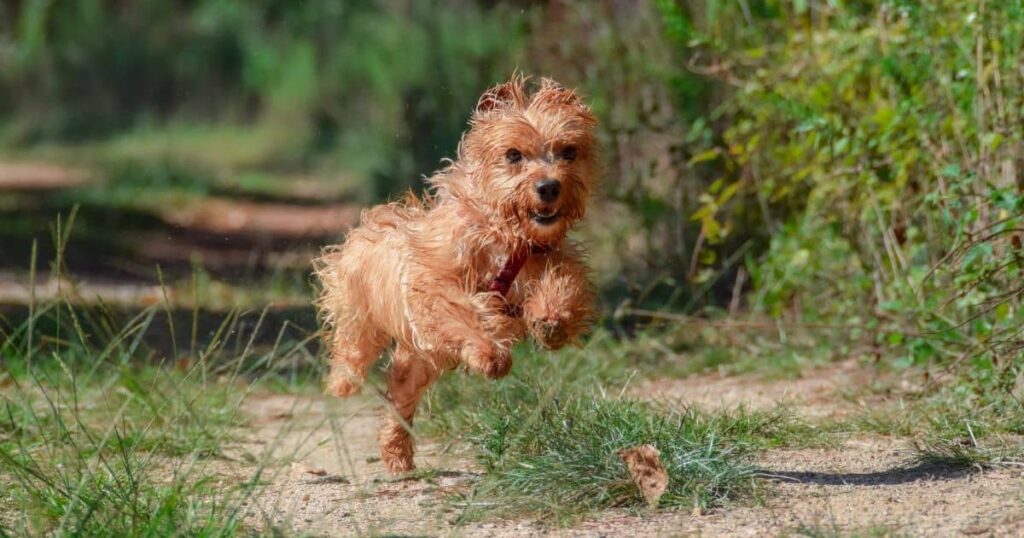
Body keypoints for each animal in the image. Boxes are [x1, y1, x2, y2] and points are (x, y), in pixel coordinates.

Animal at [315, 76, 598, 473]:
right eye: (514, 155)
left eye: (568, 152)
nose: (548, 186)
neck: (505, 235)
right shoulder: (437, 285)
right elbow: (464, 312)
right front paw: (491, 355)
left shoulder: (547, 259)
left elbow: (563, 282)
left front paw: (552, 320)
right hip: (362, 317)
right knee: (352, 347)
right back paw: (342, 382)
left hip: (418, 360)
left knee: (400, 398)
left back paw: (396, 450)